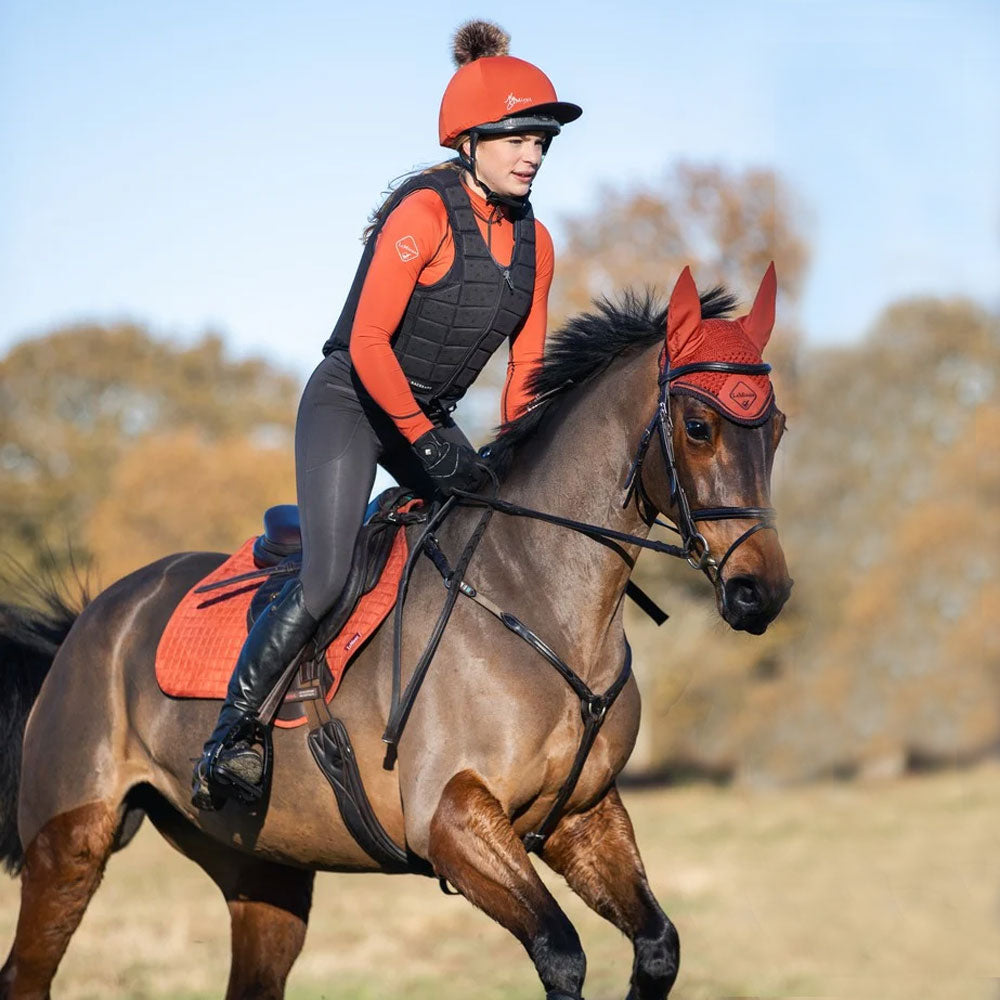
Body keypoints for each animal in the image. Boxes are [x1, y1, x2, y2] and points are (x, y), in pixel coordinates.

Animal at [3, 268, 792, 1000]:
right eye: (699, 427)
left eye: (777, 428)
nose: (762, 592)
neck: (538, 602)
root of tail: (94, 616)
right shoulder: (450, 820)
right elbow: (562, 952)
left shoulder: (581, 818)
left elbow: (658, 946)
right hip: (69, 844)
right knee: (26, 971)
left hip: (263, 868)